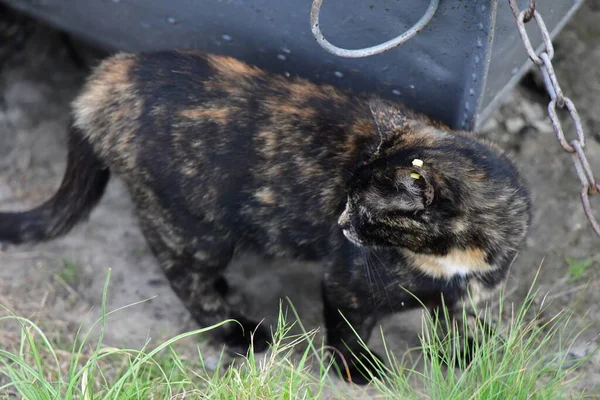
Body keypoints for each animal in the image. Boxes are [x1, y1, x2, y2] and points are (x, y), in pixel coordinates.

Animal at [2, 50, 532, 384]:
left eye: (362, 207)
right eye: (347, 199)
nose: (340, 223)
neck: (453, 257)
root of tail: (106, 78)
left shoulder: (466, 289)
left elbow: (457, 317)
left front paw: (469, 351)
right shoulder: (347, 282)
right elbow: (348, 329)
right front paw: (358, 369)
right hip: (197, 228)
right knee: (184, 276)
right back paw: (238, 331)